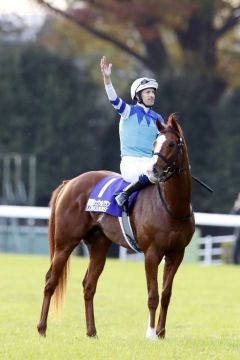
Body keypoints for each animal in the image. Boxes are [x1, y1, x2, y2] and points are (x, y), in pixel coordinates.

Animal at [37, 114, 195, 338]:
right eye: (154, 144)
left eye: (171, 144)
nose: (152, 170)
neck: (172, 206)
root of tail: (69, 183)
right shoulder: (152, 253)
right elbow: (153, 295)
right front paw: (150, 334)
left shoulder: (176, 254)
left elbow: (166, 294)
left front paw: (161, 333)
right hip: (65, 243)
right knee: (51, 281)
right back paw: (42, 329)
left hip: (99, 245)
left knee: (89, 285)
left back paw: (92, 332)